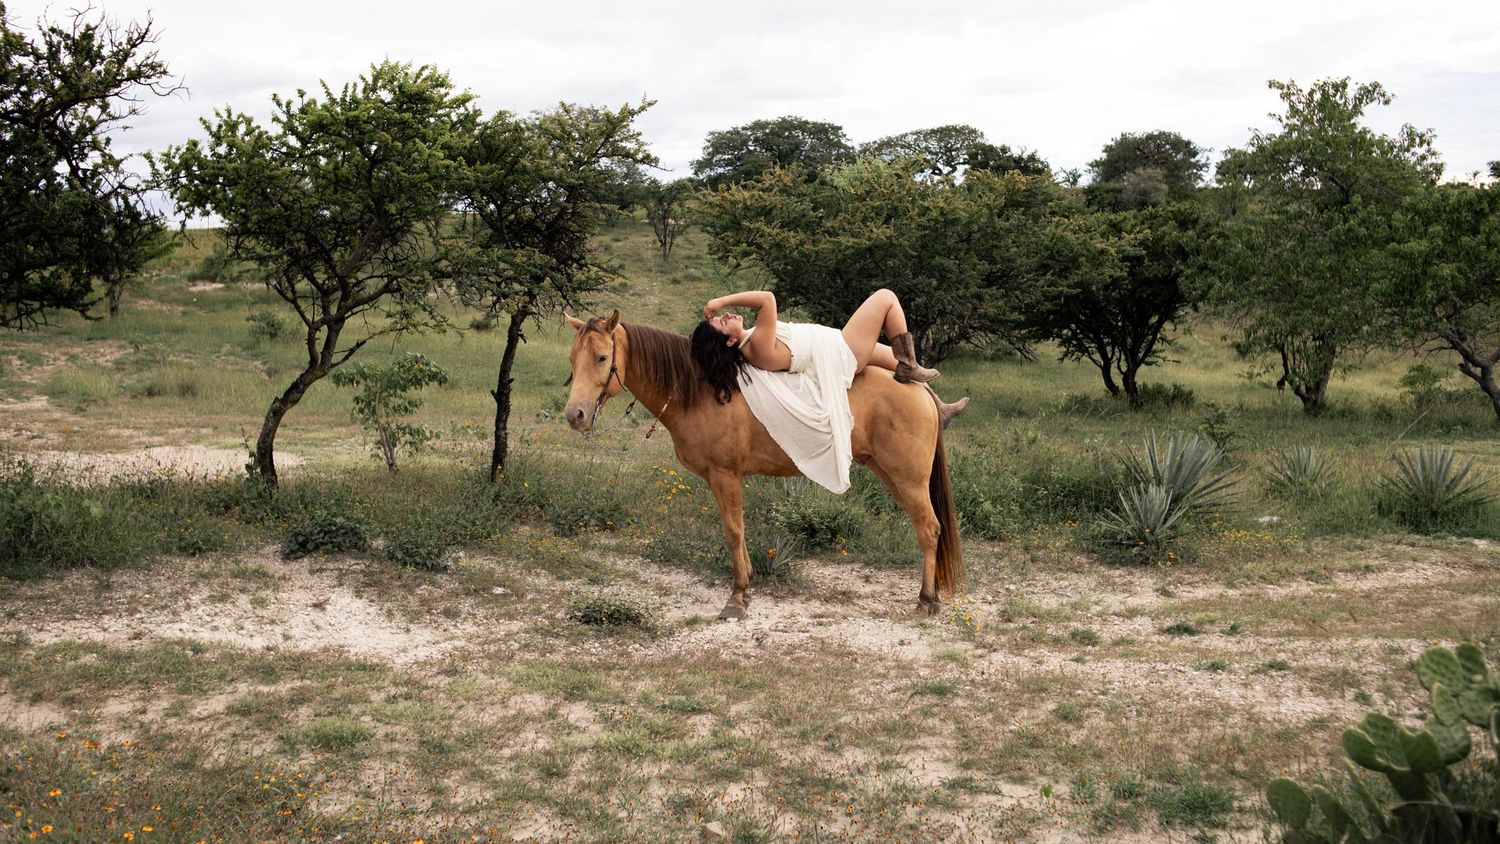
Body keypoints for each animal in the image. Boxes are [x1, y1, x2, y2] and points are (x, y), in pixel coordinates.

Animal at [563, 310, 961, 619]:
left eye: (602, 358)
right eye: (572, 358)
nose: (575, 415)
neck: (707, 388)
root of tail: (920, 390)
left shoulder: (725, 476)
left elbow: (733, 531)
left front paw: (737, 597)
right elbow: (737, 531)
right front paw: (748, 585)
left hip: (908, 480)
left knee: (929, 530)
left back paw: (925, 601)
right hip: (893, 476)